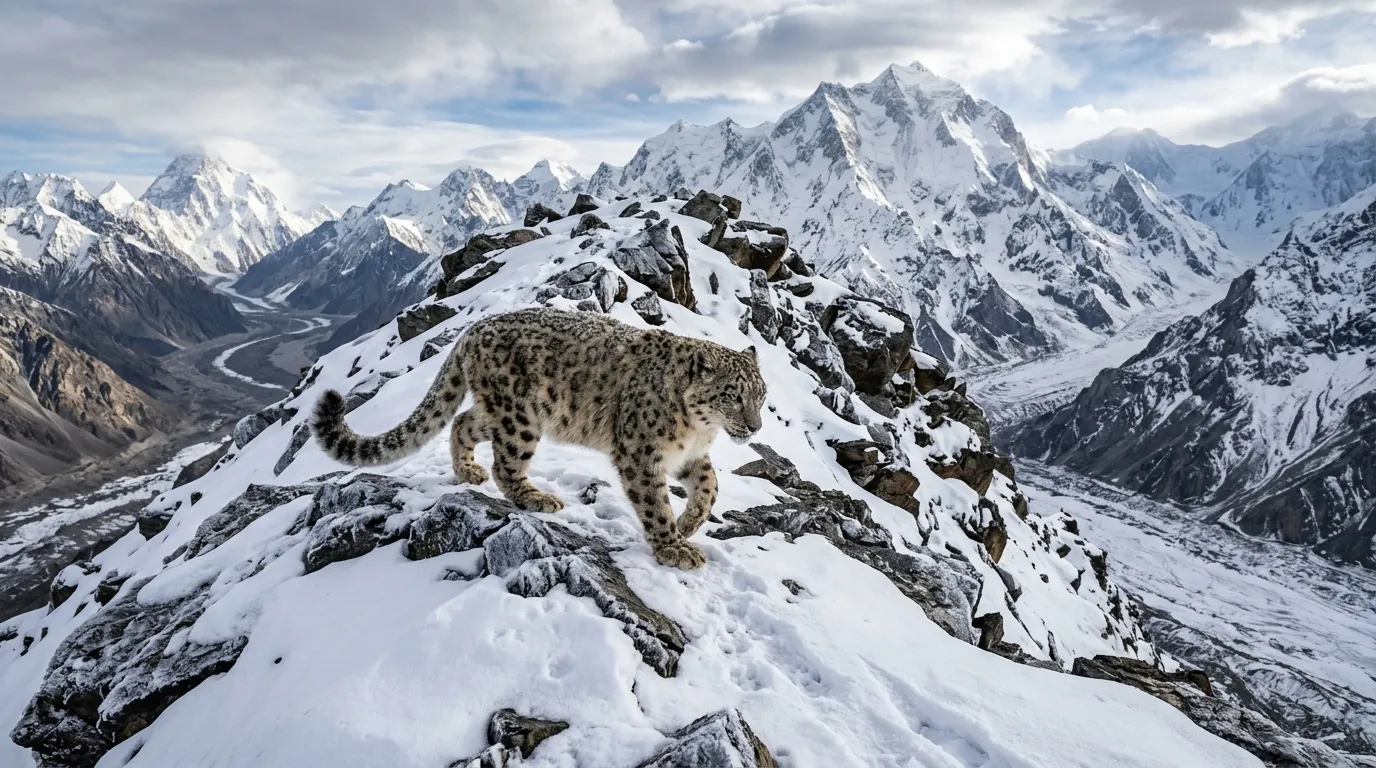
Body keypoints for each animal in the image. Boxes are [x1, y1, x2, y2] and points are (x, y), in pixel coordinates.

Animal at [312, 307, 767, 569]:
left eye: (761, 394)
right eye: (732, 395)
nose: (756, 426)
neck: (698, 430)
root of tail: (472, 330)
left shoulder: (690, 456)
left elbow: (710, 486)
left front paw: (688, 525)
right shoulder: (641, 452)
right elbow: (654, 502)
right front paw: (674, 547)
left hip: (504, 412)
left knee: (463, 422)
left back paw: (468, 471)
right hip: (520, 418)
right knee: (505, 463)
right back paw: (537, 498)